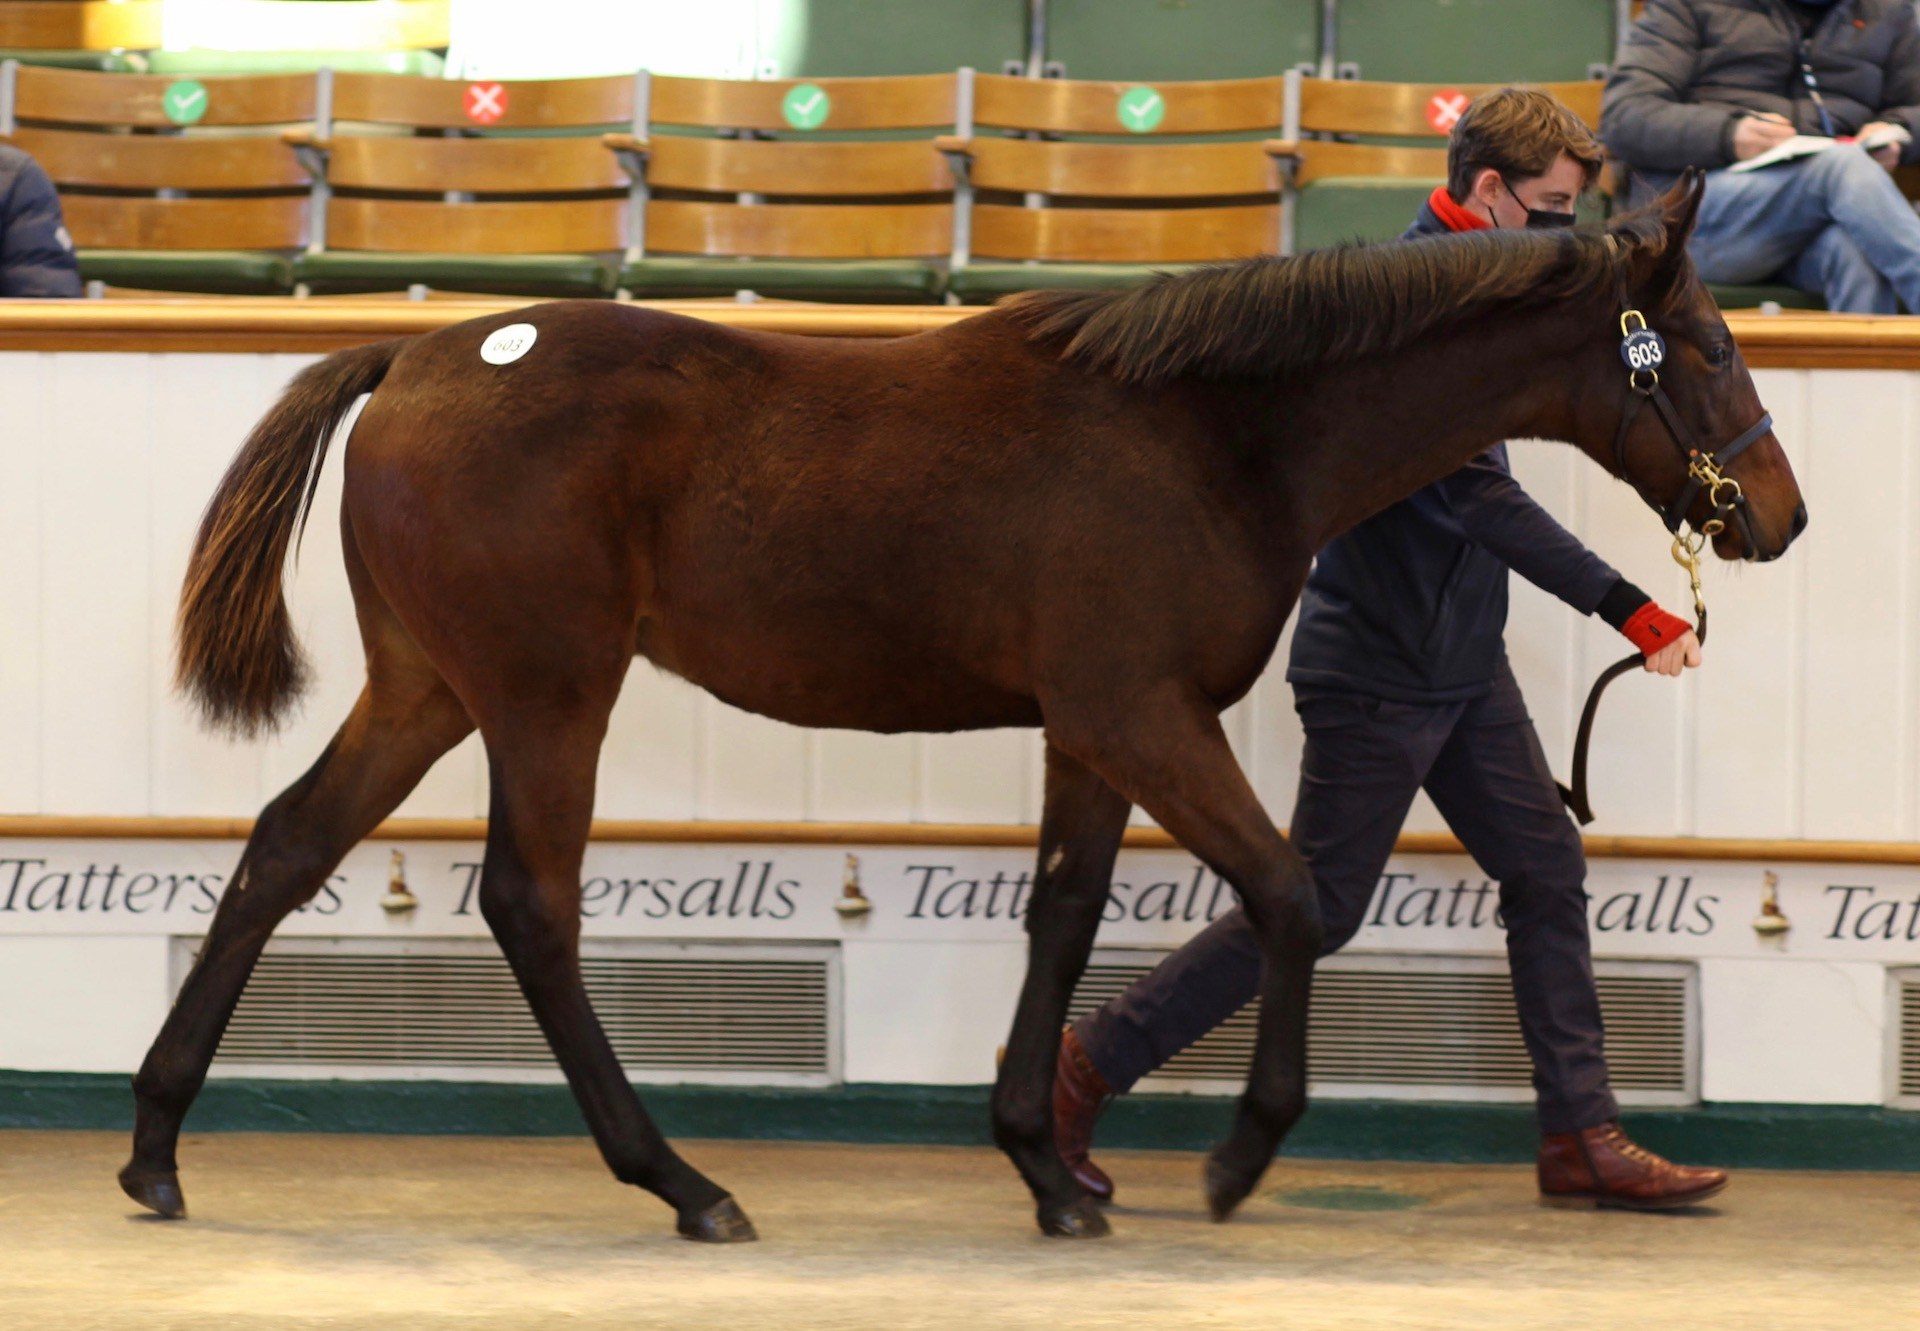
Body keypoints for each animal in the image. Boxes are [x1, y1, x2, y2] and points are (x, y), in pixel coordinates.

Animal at [116, 170, 1797, 1244]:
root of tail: (418, 350)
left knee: (284, 847)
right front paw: (1235, 1158)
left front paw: (1048, 1165)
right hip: (544, 692)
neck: (1216, 431)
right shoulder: (1141, 709)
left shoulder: (1092, 726)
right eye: (1712, 346)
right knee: (529, 902)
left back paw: (154, 1148)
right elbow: (1289, 890)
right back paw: (684, 1181)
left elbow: (1063, 914)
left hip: (429, 689)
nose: (1777, 516)